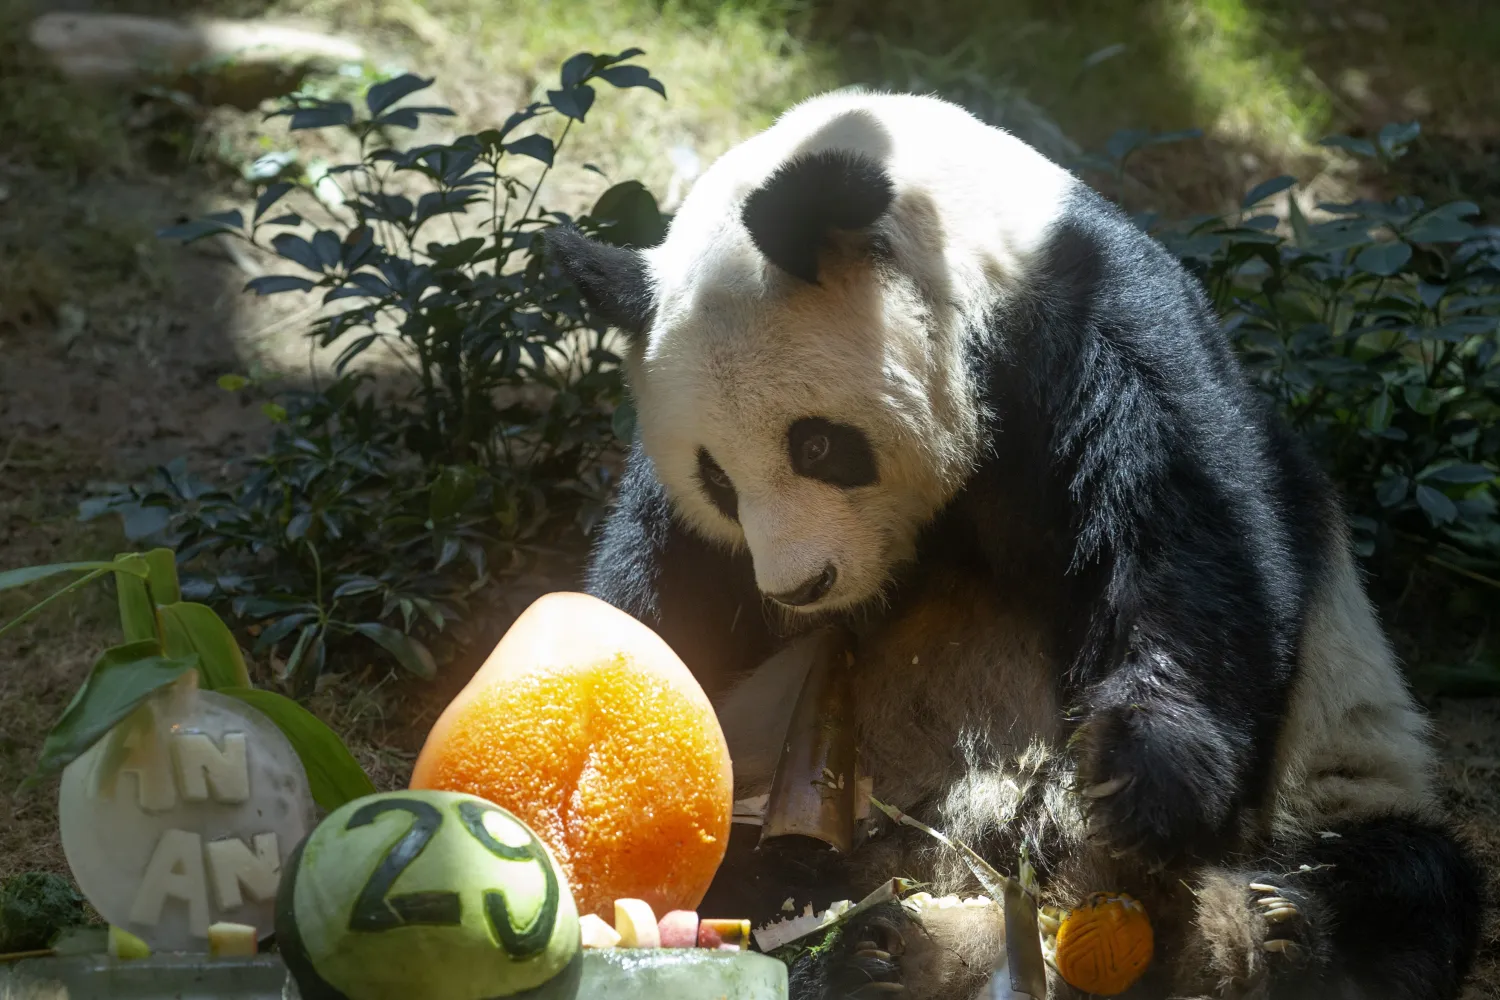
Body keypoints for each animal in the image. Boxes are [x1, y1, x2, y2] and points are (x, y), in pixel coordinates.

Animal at [547, 91, 1483, 999]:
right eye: (717, 479)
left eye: (816, 445)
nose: (800, 586)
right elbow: (657, 600)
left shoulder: (1098, 333)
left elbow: (1189, 543)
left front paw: (1136, 780)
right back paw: (872, 953)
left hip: (1337, 776)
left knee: (1405, 880)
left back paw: (1272, 932)